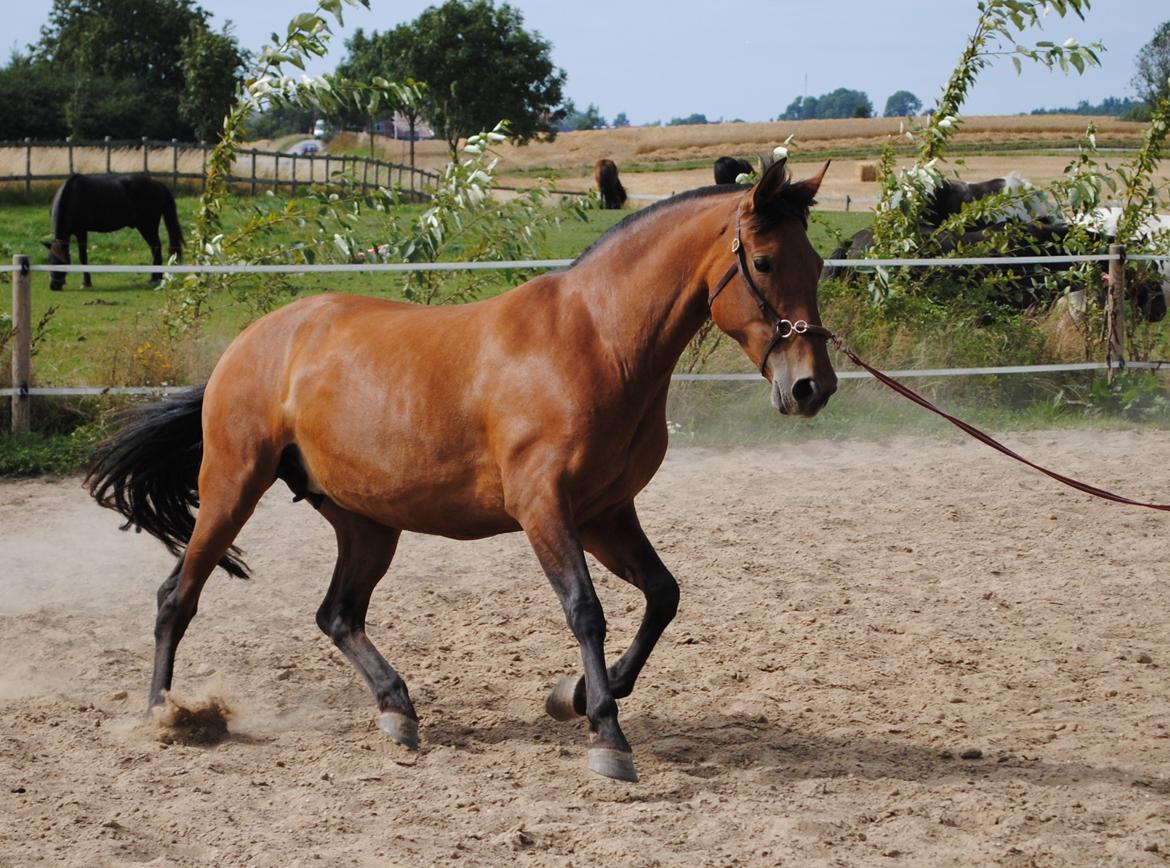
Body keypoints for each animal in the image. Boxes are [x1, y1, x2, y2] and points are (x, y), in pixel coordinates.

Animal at [44, 173, 181, 292]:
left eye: (63, 262)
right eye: (49, 261)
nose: (54, 286)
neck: (72, 196)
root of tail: (157, 183)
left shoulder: (81, 231)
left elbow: (83, 257)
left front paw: (86, 283)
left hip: (148, 225)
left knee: (156, 246)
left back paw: (155, 278)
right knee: (154, 247)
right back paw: (156, 277)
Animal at [91, 157, 837, 790]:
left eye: (819, 261)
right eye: (765, 261)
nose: (812, 388)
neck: (596, 343)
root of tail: (251, 342)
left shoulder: (605, 512)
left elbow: (662, 596)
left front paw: (574, 697)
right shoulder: (544, 508)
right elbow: (586, 611)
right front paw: (607, 737)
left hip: (366, 522)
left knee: (337, 614)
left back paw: (397, 709)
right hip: (232, 486)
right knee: (177, 597)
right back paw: (166, 716)